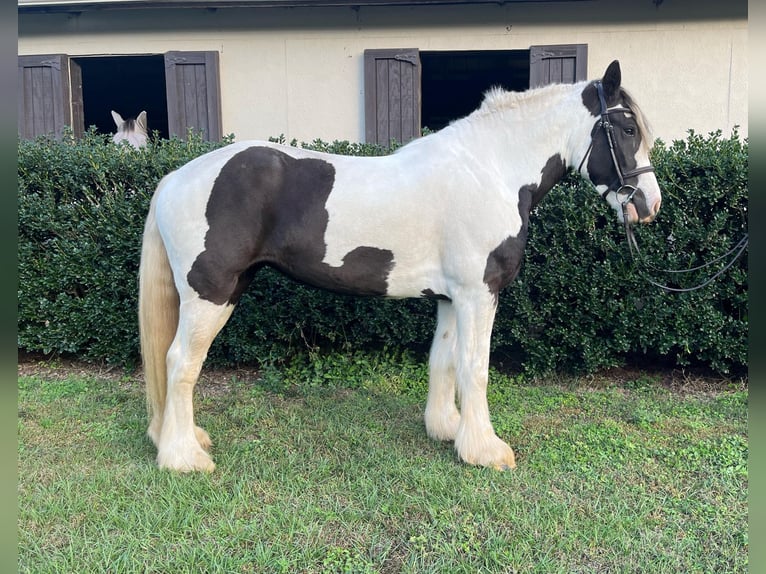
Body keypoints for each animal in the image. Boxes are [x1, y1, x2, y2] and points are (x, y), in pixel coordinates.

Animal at [141, 59, 664, 472]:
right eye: (628, 130)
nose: (649, 204)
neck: (490, 170)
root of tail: (174, 177)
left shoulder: (453, 297)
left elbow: (444, 361)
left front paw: (447, 429)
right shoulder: (479, 293)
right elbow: (475, 367)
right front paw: (486, 451)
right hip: (212, 293)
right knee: (180, 362)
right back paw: (184, 457)